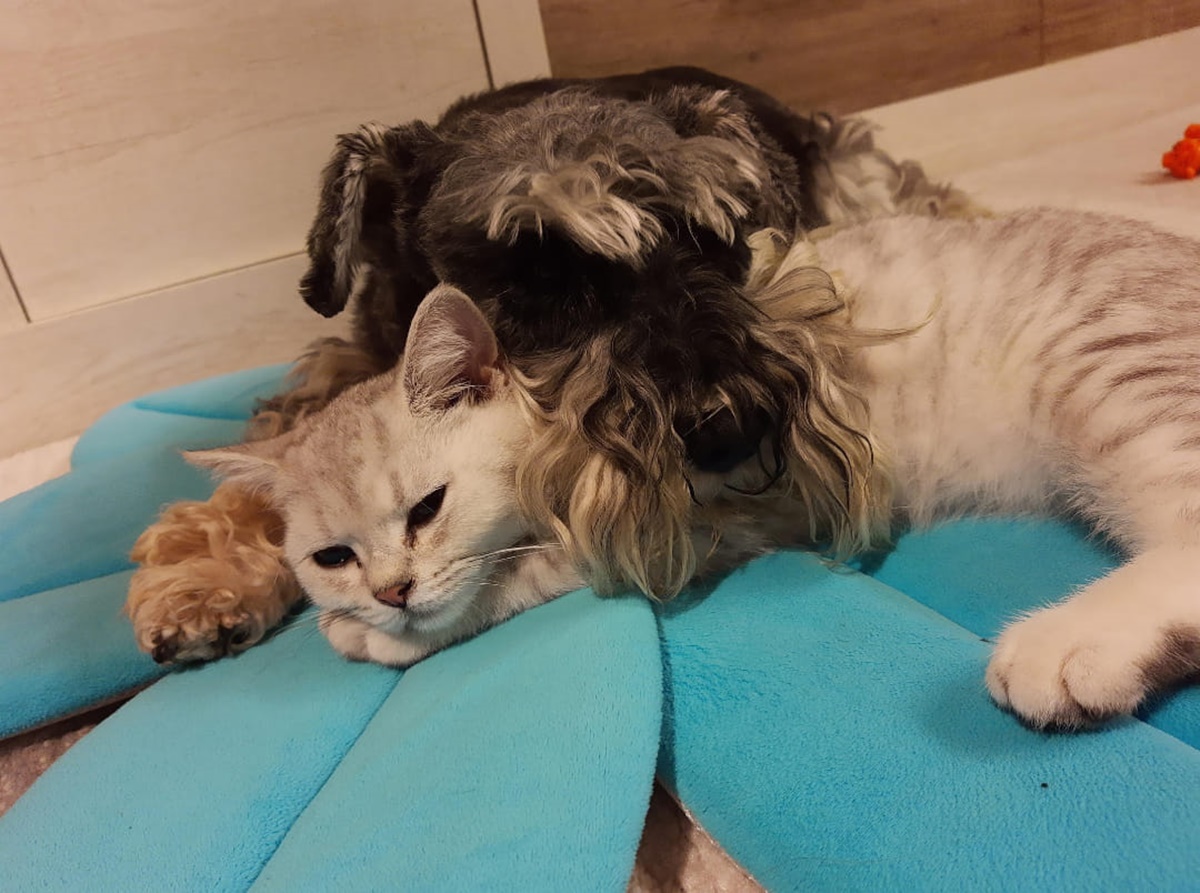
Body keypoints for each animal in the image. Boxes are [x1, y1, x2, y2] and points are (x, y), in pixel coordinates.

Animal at [191, 206, 1200, 730]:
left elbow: (516, 578)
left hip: (1111, 368)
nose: (388, 592)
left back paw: (1070, 645)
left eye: (427, 507)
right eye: (331, 557)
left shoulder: (708, 516)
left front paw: (384, 635)